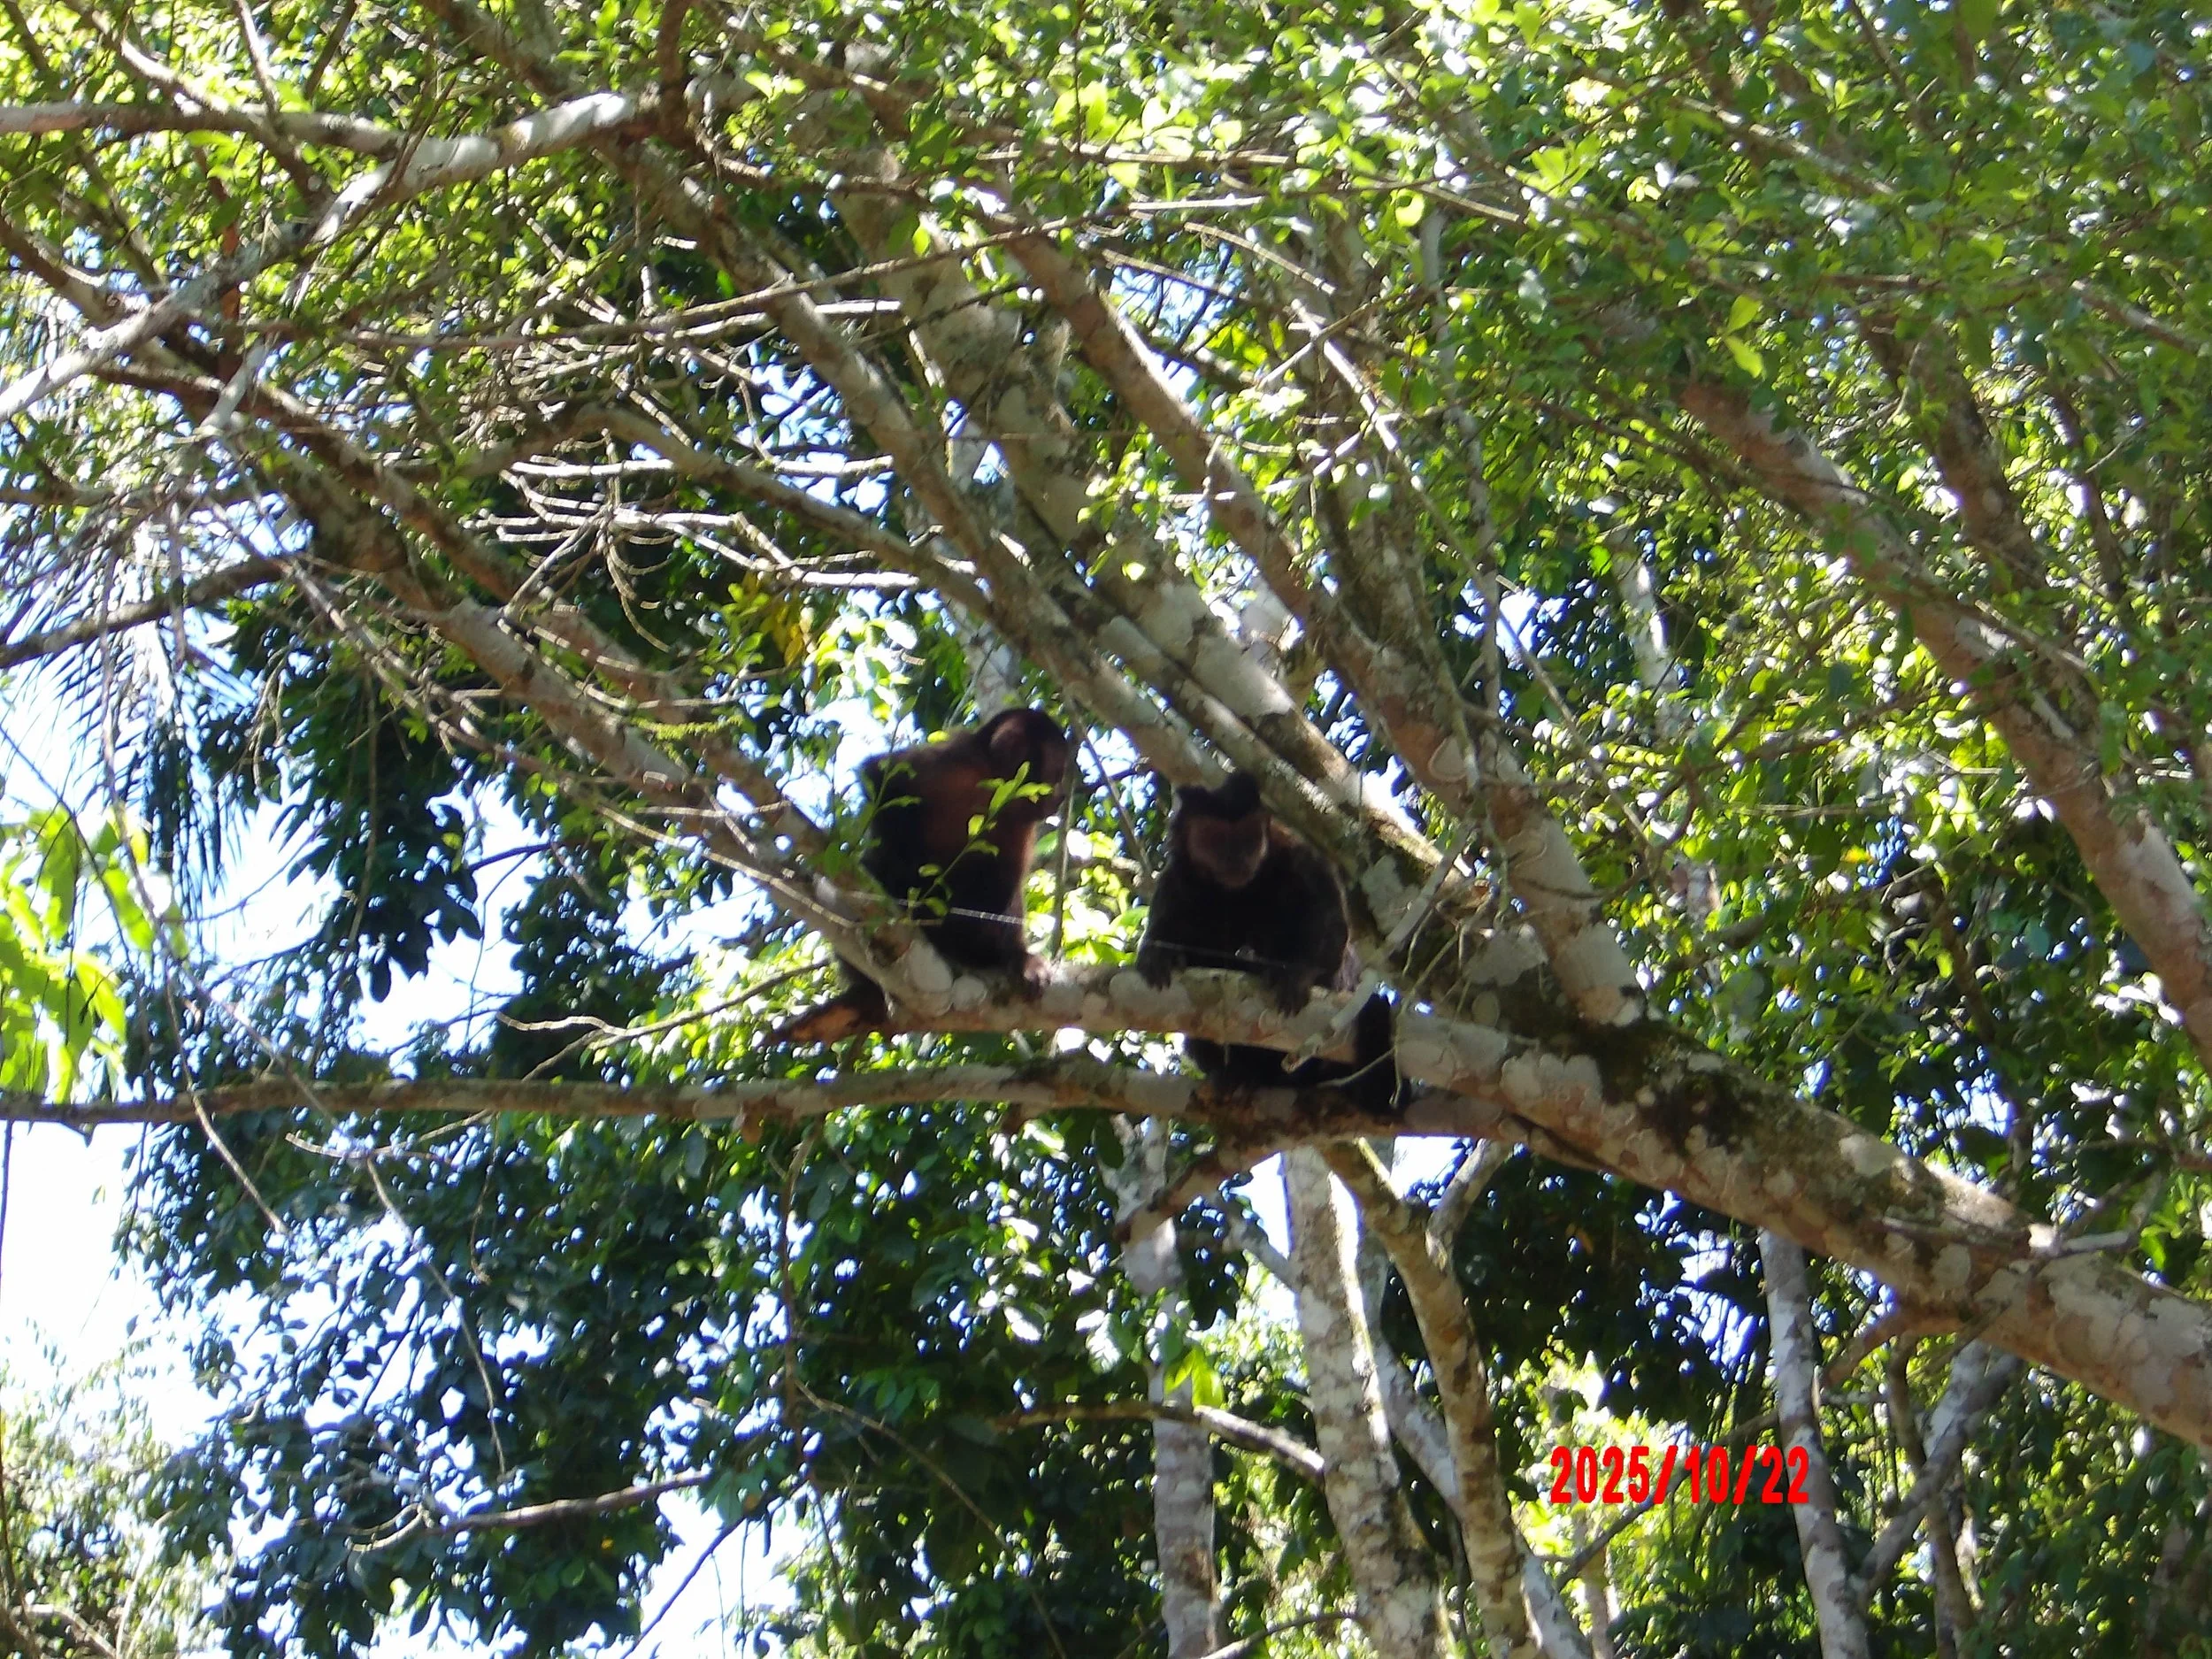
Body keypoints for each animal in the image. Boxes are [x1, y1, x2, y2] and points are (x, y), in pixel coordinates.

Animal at [777, 707, 1073, 1043]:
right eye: (1057, 773)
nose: (1062, 796)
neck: (989, 788)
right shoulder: (951, 761)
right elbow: (880, 776)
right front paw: (906, 863)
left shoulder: (1018, 819)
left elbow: (1005, 884)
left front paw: (1013, 955)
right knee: (874, 864)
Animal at [1136, 771, 1401, 1115]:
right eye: (1216, 838)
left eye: (1248, 836)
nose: (1238, 856)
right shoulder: (1175, 879)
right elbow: (1161, 939)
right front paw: (1159, 956)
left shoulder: (1301, 855)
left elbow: (1335, 935)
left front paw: (1297, 973)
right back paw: (1239, 1073)